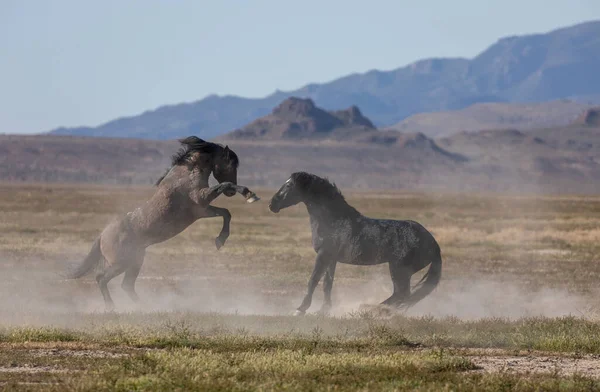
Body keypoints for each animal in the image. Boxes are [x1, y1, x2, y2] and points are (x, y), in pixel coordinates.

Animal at [66, 136, 258, 310]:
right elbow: (225, 185)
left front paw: (220, 240)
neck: (186, 173)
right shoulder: (202, 198)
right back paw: (111, 307)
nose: (231, 195)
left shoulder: (202, 210)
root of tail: (102, 236)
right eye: (230, 163)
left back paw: (147, 307)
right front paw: (249, 195)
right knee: (101, 278)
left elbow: (226, 213)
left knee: (126, 285)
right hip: (121, 263)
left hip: (135, 261)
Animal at [270, 172, 442, 316]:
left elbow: (313, 280)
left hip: (399, 269)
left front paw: (300, 309)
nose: (272, 205)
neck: (332, 220)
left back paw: (370, 309)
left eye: (289, 185)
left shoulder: (323, 255)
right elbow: (327, 284)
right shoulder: (331, 259)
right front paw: (324, 310)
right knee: (401, 295)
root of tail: (433, 243)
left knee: (402, 294)